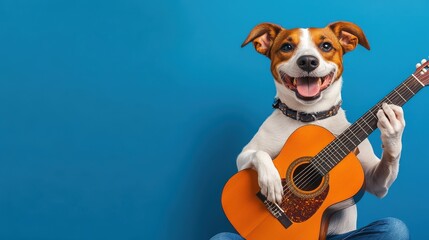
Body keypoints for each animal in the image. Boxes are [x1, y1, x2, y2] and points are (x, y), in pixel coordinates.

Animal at [239, 21, 406, 235]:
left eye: (326, 46)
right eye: (287, 47)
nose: (308, 61)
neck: (310, 116)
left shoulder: (372, 178)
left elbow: (378, 181)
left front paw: (393, 132)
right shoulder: (244, 156)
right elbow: (258, 154)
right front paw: (271, 180)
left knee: (394, 225)